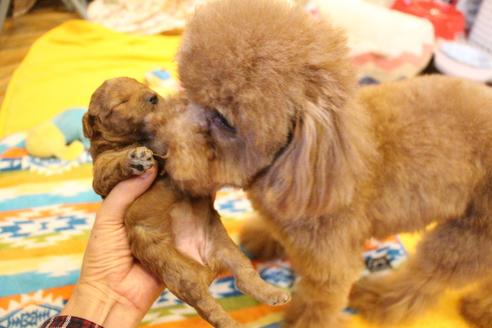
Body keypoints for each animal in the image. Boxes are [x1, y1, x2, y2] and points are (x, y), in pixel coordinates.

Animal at [82, 77, 290, 328]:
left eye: (142, 87)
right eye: (120, 102)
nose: (153, 97)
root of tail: (206, 266)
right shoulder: (102, 174)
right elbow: (112, 165)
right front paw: (136, 158)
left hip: (226, 248)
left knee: (245, 276)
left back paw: (272, 293)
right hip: (180, 274)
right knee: (209, 308)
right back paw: (231, 323)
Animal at [143, 0, 492, 328]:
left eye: (224, 120)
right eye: (185, 86)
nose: (152, 136)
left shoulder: (331, 264)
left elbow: (321, 302)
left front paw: (304, 319)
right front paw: (264, 236)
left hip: (469, 236)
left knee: (426, 280)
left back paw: (378, 299)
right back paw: (481, 309)